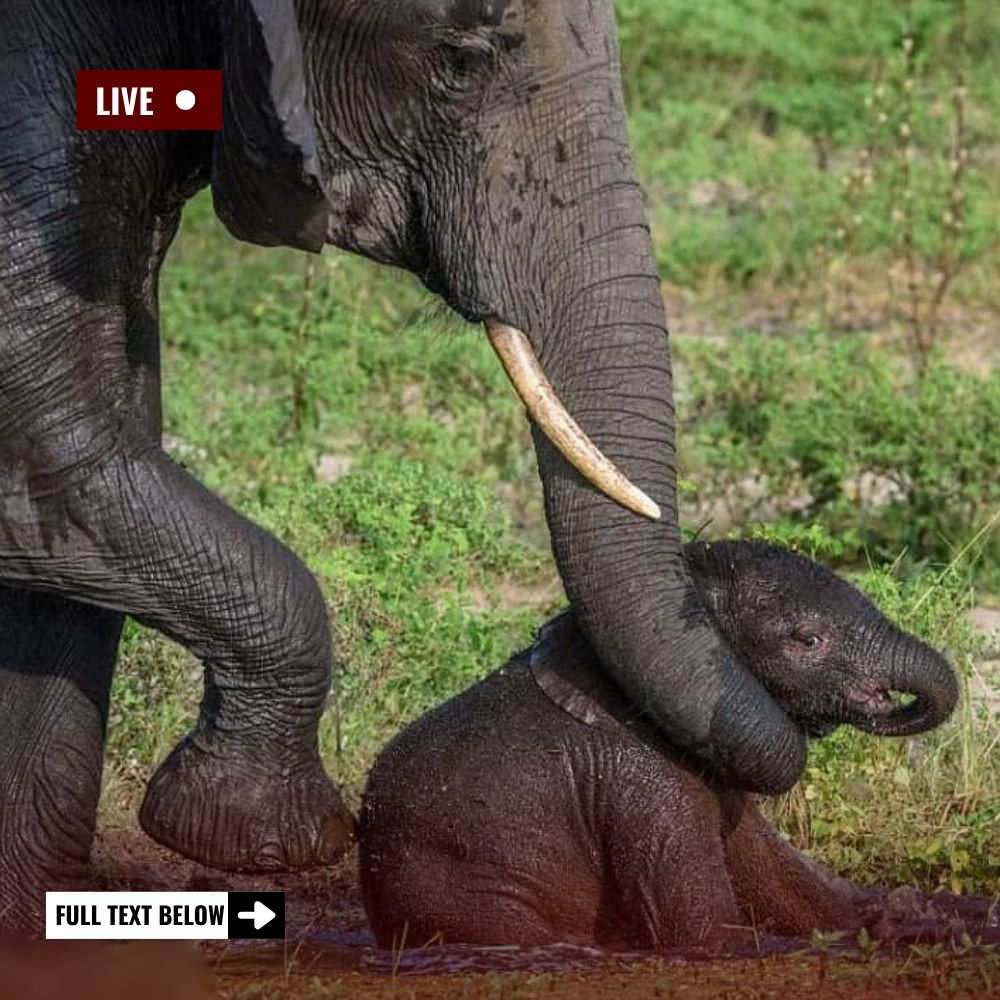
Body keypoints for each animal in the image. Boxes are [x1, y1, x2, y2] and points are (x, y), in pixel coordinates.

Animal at [358, 544, 952, 948]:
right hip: (452, 889)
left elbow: (785, 886)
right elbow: (704, 930)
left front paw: (909, 913)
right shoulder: (645, 779)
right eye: (807, 641)